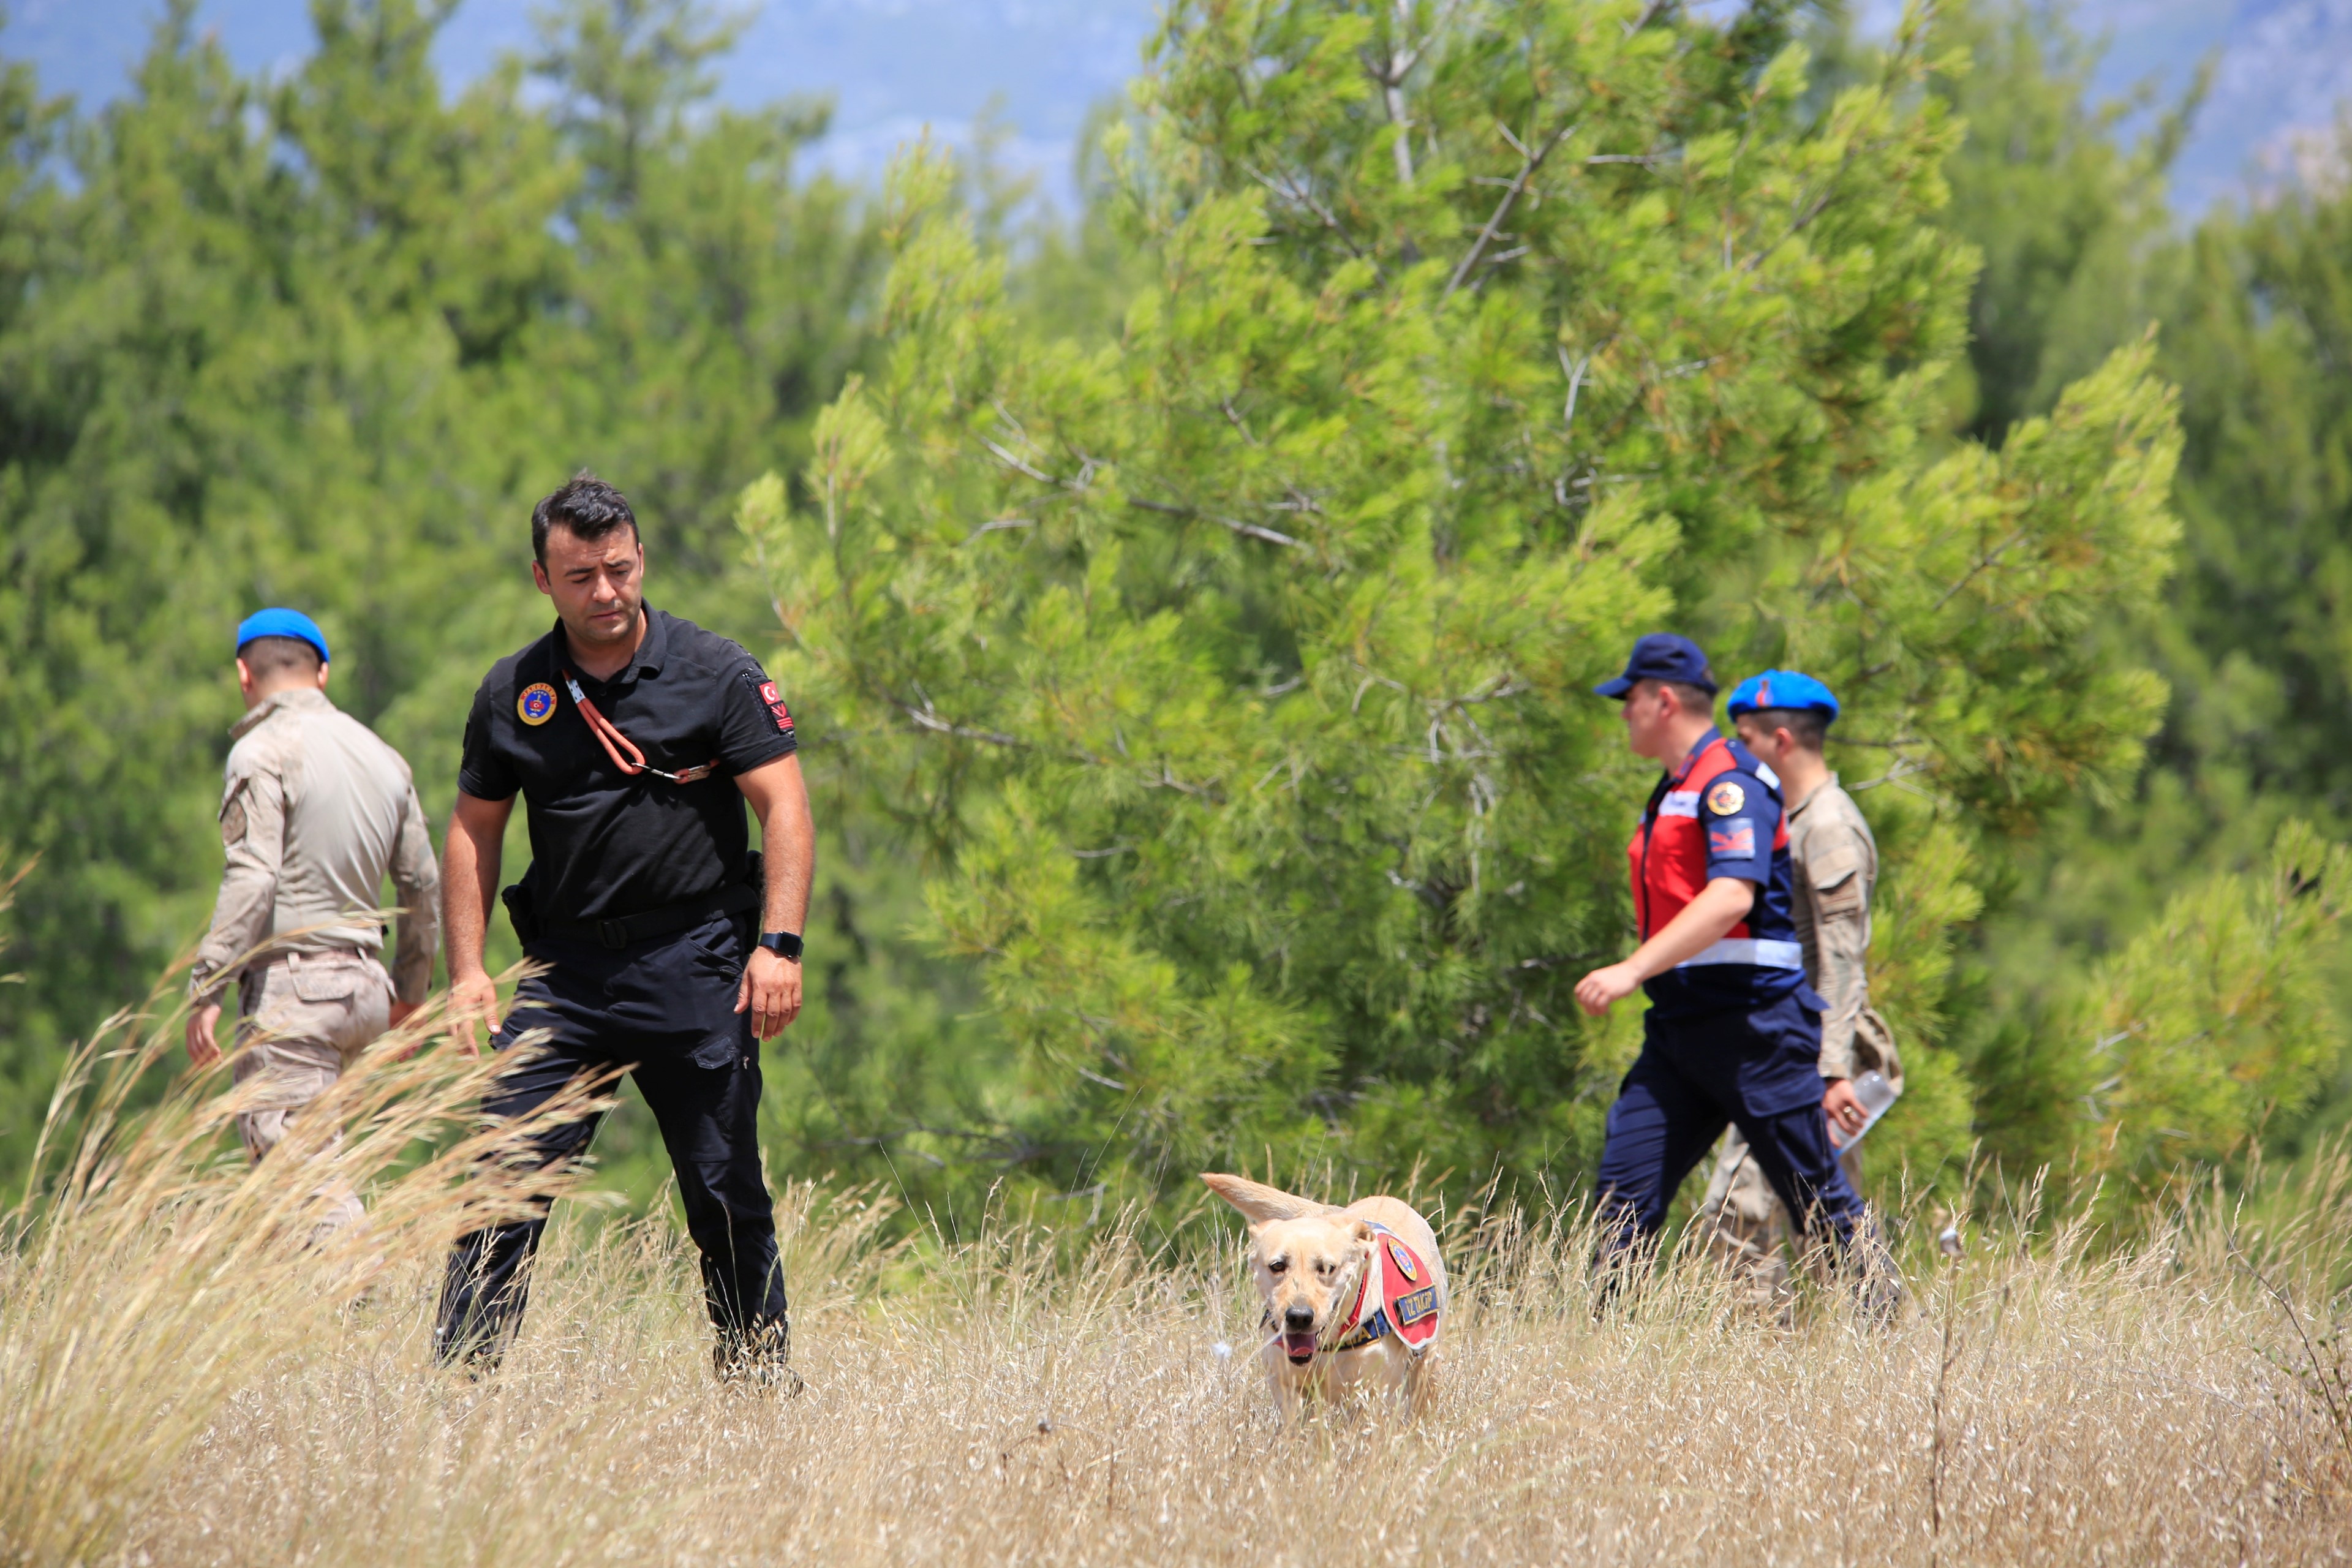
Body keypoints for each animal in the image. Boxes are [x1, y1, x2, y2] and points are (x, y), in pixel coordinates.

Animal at [1204, 1175, 1439, 1420]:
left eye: (1327, 1268)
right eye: (1278, 1266)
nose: (1299, 1317)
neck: (1329, 1342)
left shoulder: (1372, 1395)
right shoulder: (1288, 1390)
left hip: (1427, 1364)